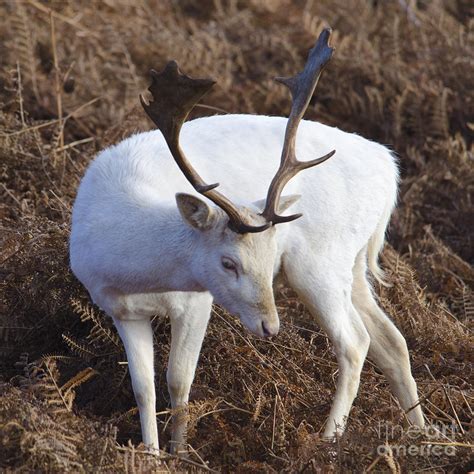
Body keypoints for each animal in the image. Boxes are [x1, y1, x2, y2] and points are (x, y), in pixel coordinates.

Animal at [68, 27, 424, 454]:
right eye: (228, 262)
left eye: (269, 256)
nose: (271, 326)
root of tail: (390, 168)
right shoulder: (120, 311)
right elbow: (143, 389)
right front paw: (150, 455)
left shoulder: (196, 301)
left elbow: (179, 380)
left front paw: (181, 452)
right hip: (350, 265)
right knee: (392, 340)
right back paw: (422, 432)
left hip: (318, 262)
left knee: (355, 341)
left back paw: (328, 440)